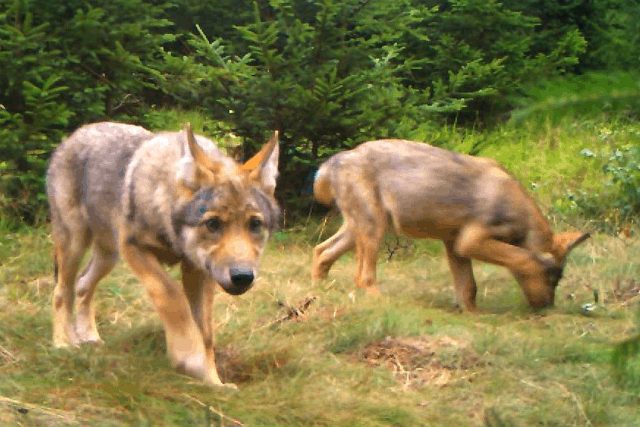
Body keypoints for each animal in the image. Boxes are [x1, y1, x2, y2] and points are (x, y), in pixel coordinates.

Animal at [48, 122, 278, 390]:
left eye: (254, 224)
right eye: (213, 224)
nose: (242, 276)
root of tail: (74, 135)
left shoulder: (198, 271)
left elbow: (206, 334)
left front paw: (212, 382)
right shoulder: (134, 249)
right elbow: (172, 297)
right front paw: (189, 357)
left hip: (108, 256)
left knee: (83, 284)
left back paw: (88, 337)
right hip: (76, 244)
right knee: (62, 291)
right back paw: (64, 343)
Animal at [312, 140, 588, 310]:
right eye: (554, 277)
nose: (547, 308)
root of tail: (334, 160)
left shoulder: (453, 243)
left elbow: (468, 288)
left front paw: (473, 315)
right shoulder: (469, 242)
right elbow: (525, 258)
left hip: (360, 228)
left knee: (321, 252)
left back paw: (318, 292)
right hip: (374, 229)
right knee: (362, 276)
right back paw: (379, 301)